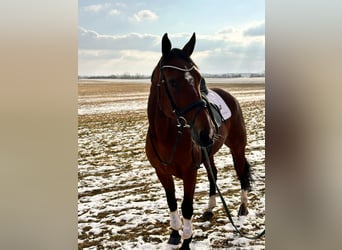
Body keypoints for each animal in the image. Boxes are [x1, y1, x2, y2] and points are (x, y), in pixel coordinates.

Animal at [144, 32, 251, 248]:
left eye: (199, 79)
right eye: (172, 81)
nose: (206, 131)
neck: (167, 137)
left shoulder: (190, 173)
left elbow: (187, 206)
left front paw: (186, 241)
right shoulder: (162, 173)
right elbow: (171, 202)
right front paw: (174, 234)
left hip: (237, 148)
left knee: (242, 174)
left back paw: (243, 208)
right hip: (209, 152)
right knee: (213, 175)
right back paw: (210, 208)